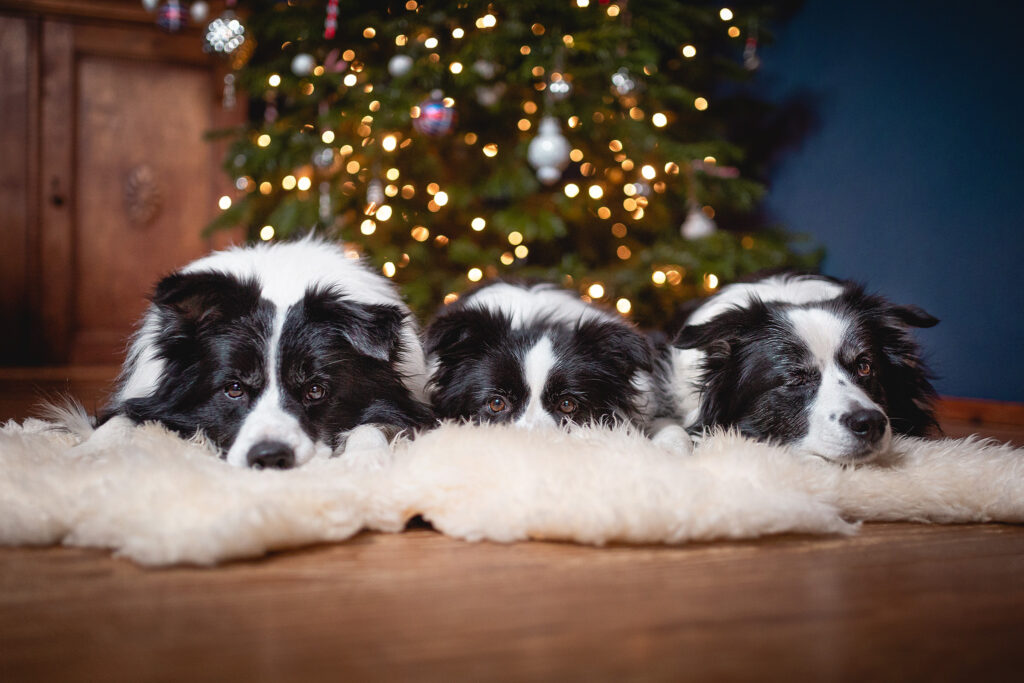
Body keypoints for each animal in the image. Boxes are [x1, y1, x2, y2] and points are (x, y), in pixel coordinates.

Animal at [105, 239, 434, 471]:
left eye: (316, 390)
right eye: (234, 388)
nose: (270, 457)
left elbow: (372, 425)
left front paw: (366, 460)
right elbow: (118, 421)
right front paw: (96, 453)